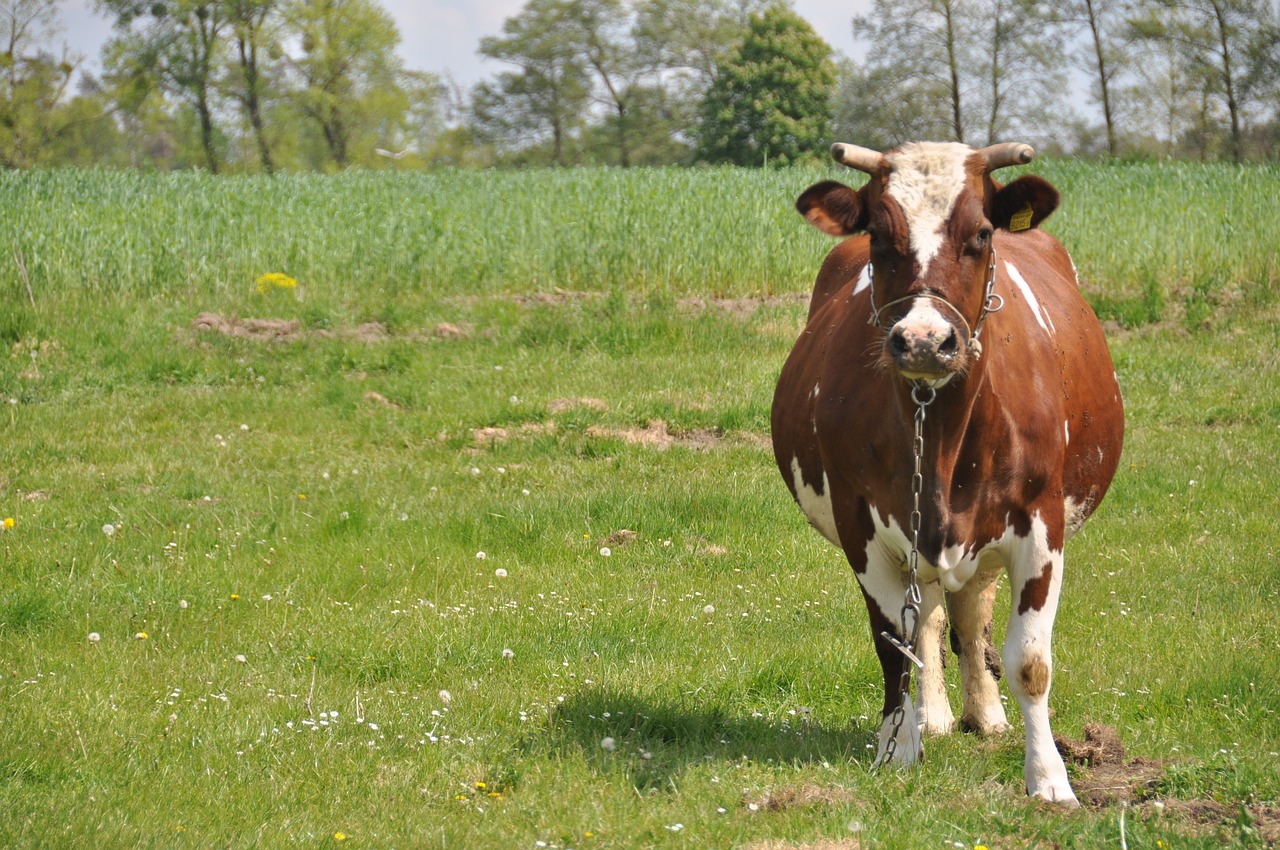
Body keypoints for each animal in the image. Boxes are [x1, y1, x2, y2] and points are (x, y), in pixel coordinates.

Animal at [768, 139, 1121, 803]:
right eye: (879, 235)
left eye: (981, 233)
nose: (926, 341)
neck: (938, 433)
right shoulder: (864, 529)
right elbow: (895, 645)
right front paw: (898, 749)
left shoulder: (1042, 524)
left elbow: (1029, 660)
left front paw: (1049, 777)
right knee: (930, 615)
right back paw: (932, 715)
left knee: (970, 610)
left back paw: (985, 714)